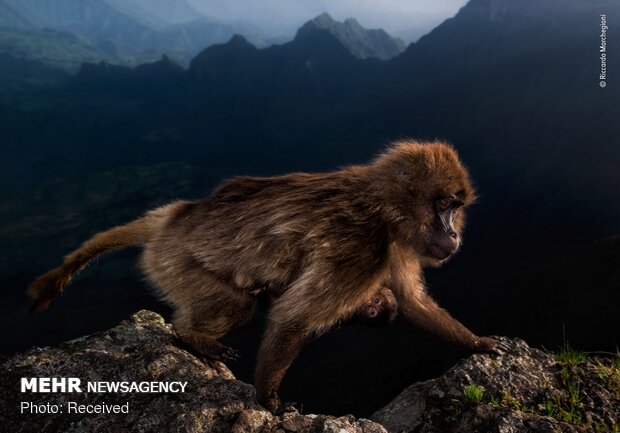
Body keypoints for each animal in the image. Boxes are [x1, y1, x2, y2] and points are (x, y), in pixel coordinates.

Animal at [26, 141, 506, 412]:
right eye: (443, 206)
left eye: (456, 208)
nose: (453, 235)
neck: (384, 208)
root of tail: (176, 216)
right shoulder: (361, 247)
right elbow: (293, 318)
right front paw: (268, 400)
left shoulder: (396, 246)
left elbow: (411, 303)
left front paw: (477, 342)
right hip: (173, 262)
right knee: (235, 303)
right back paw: (190, 335)